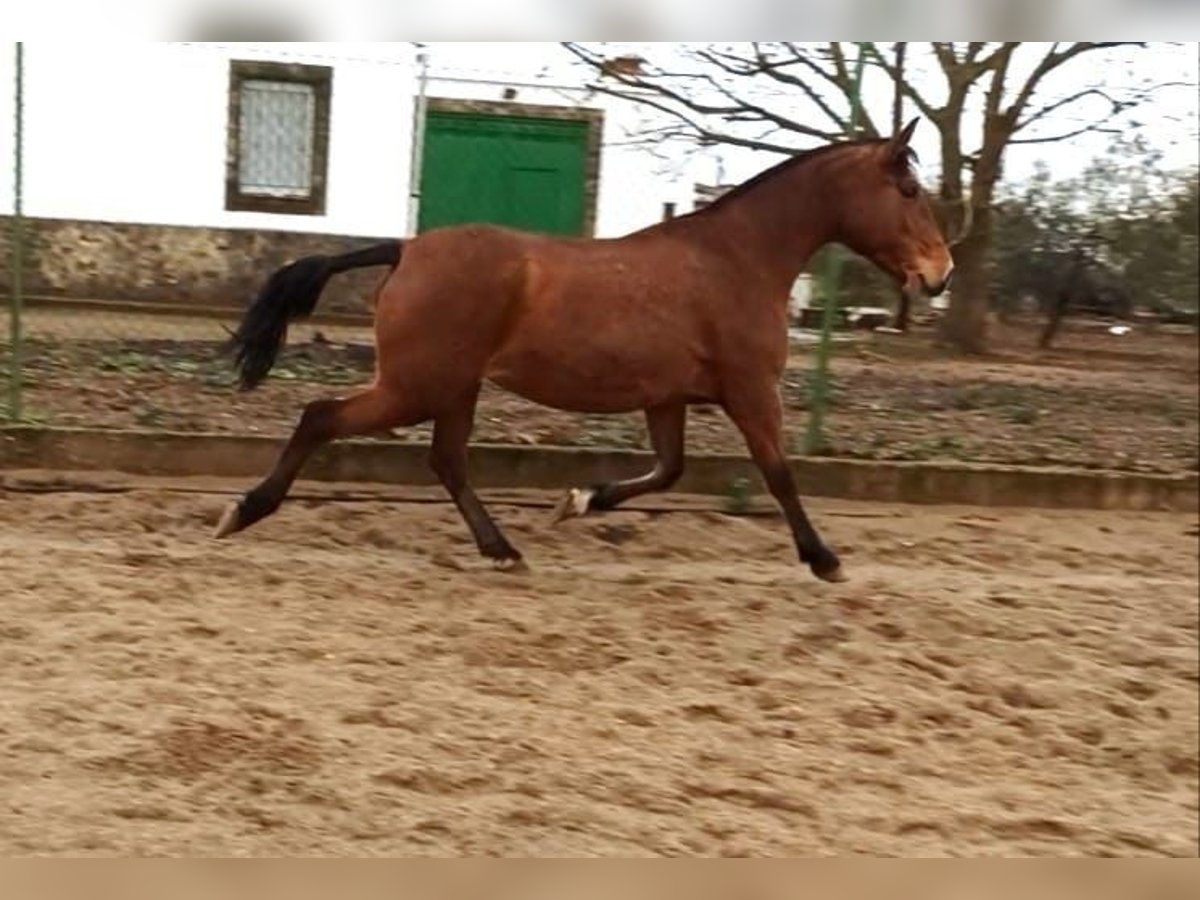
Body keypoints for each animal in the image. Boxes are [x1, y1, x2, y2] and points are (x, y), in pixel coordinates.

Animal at [216, 118, 950, 585]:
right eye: (910, 191)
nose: (938, 275)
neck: (737, 258)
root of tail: (405, 248)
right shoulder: (749, 391)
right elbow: (779, 473)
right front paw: (824, 559)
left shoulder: (668, 399)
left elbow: (670, 471)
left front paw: (578, 499)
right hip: (417, 385)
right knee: (322, 417)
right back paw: (241, 512)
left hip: (453, 387)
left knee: (446, 461)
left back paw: (503, 550)